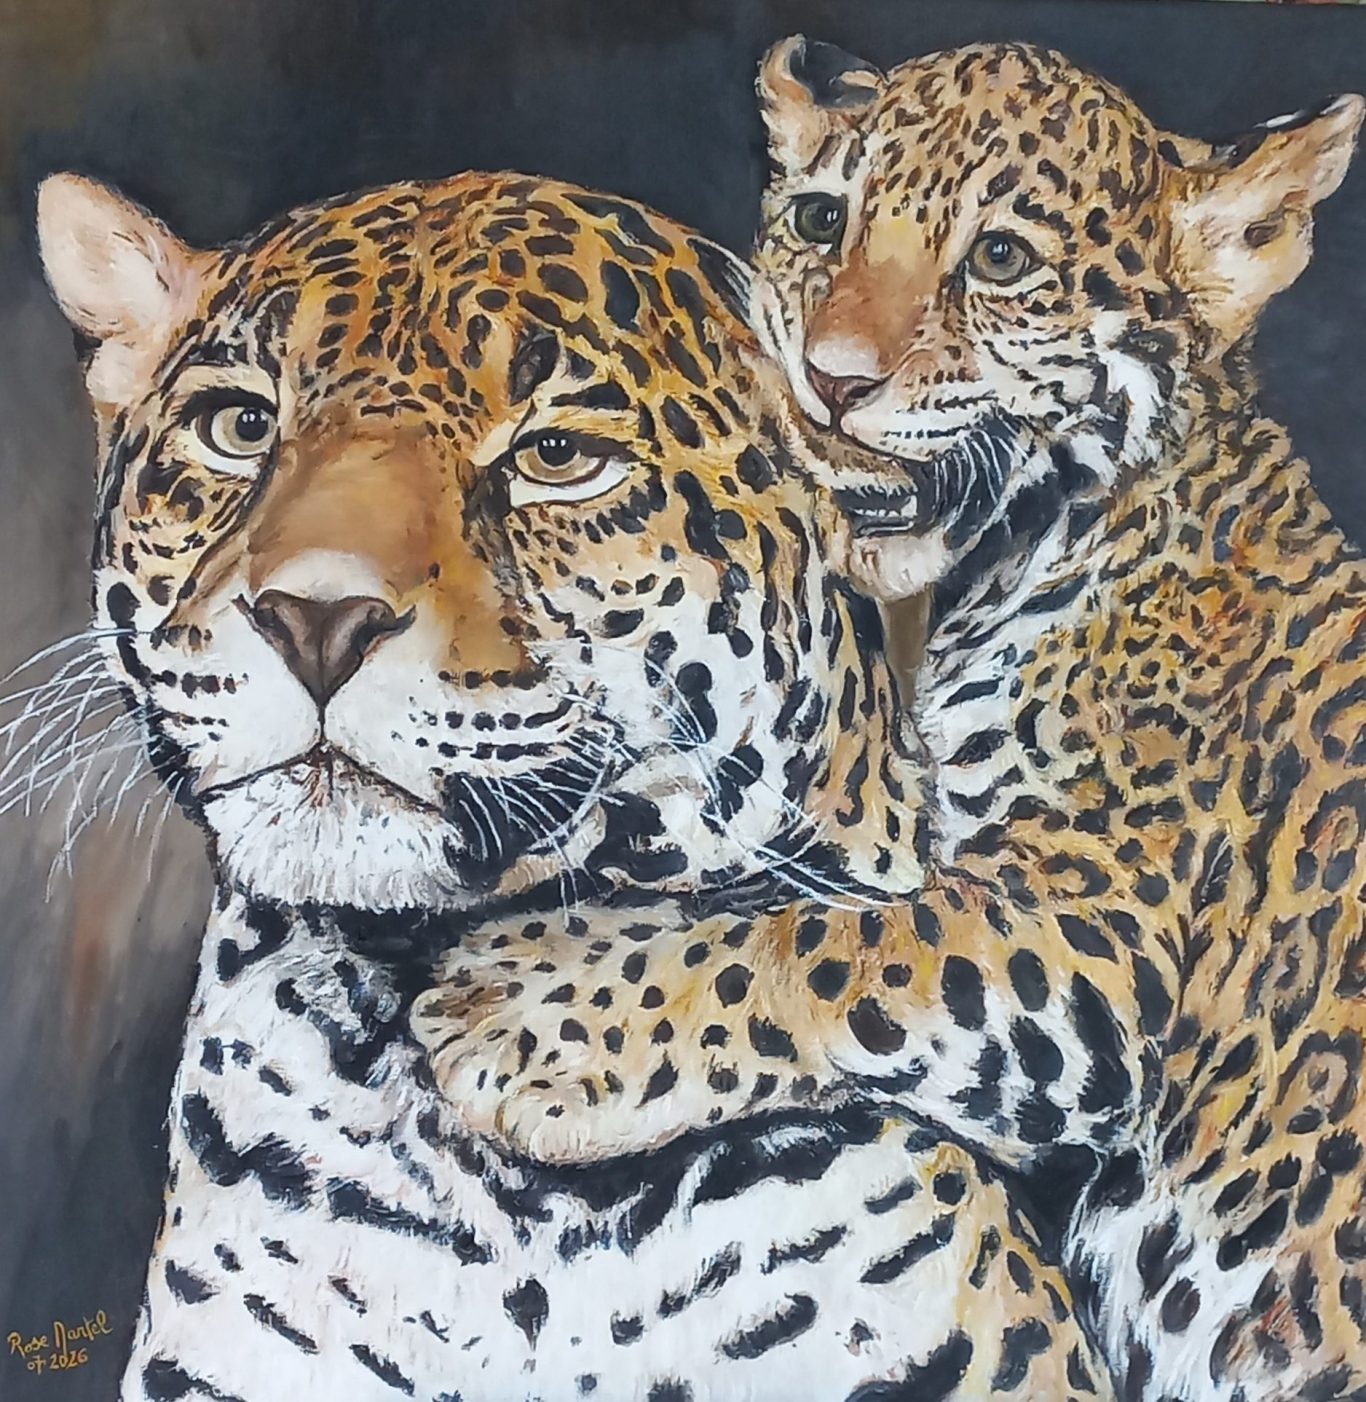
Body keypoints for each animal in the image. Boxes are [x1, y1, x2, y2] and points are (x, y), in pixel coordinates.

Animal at [426, 37, 1366, 1402]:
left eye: (1002, 259)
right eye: (823, 221)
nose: (830, 382)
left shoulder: (1093, 919)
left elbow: (824, 938)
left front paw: (527, 1008)